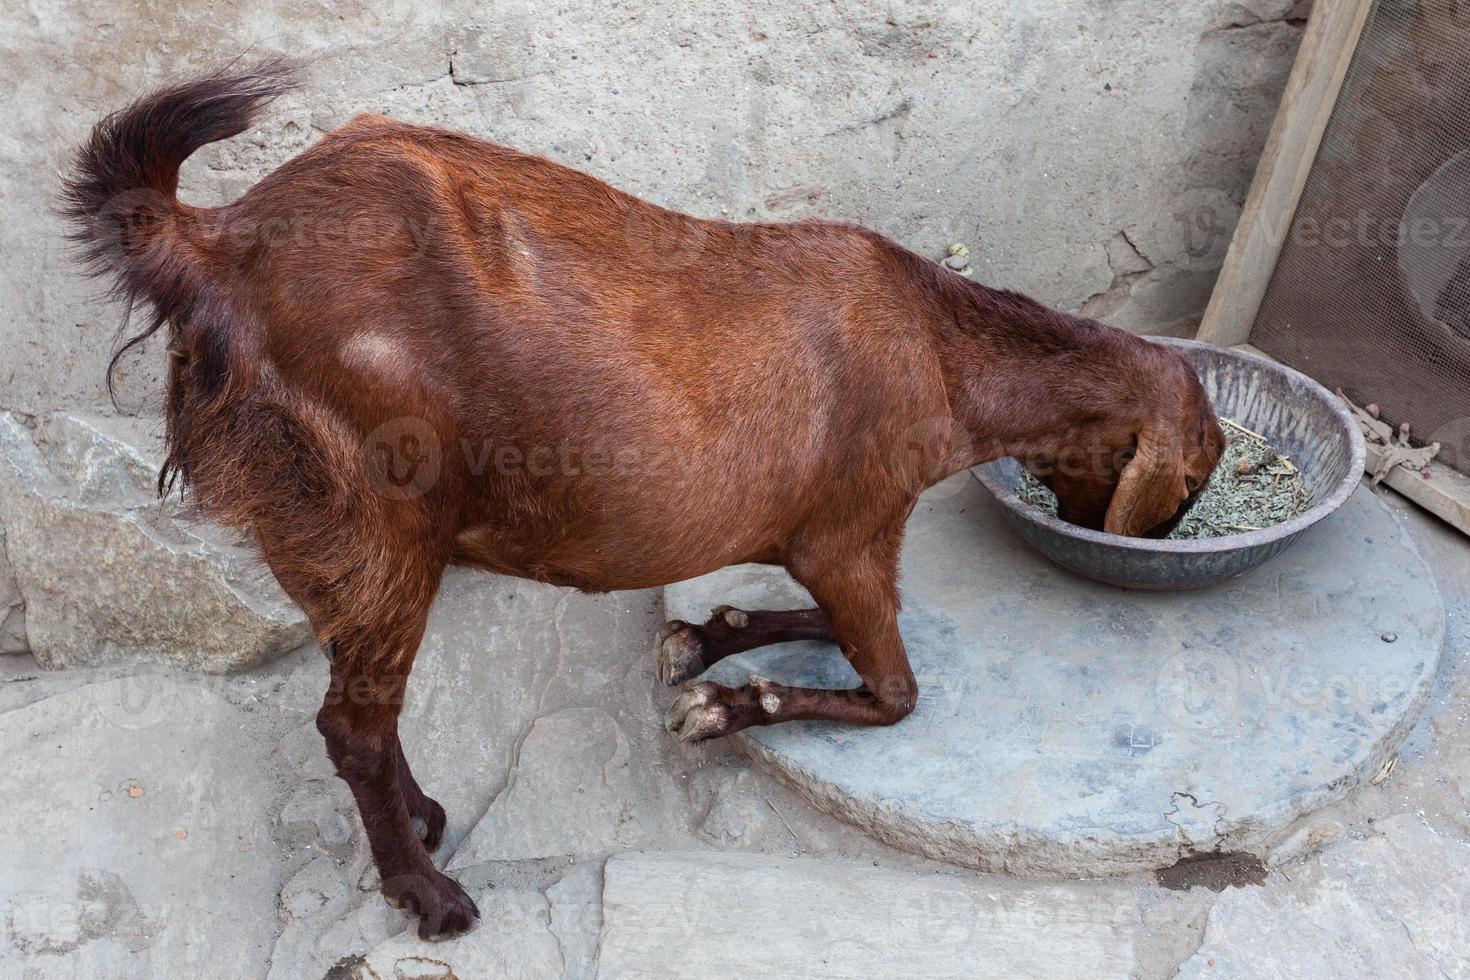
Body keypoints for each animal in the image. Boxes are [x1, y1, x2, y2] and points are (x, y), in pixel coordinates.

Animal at [63, 63, 1223, 940]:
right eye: (1195, 476)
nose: (1163, 529)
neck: (945, 359)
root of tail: (213, 245)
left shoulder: (823, 540)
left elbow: (819, 617)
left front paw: (706, 642)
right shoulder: (852, 530)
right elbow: (896, 690)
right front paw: (727, 705)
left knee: (366, 709)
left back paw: (427, 815)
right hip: (378, 516)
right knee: (350, 722)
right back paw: (427, 892)